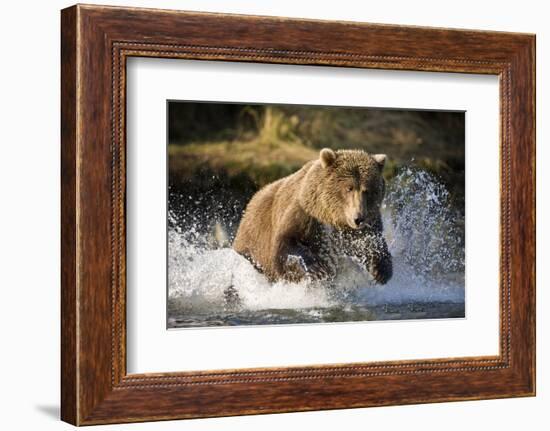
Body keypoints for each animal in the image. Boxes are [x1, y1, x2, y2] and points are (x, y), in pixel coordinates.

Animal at [233, 147, 392, 286]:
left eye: (367, 190)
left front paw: (380, 270)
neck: (331, 217)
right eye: (349, 188)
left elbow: (372, 244)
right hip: (252, 242)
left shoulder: (366, 225)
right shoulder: (305, 214)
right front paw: (317, 268)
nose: (358, 218)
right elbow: (285, 244)